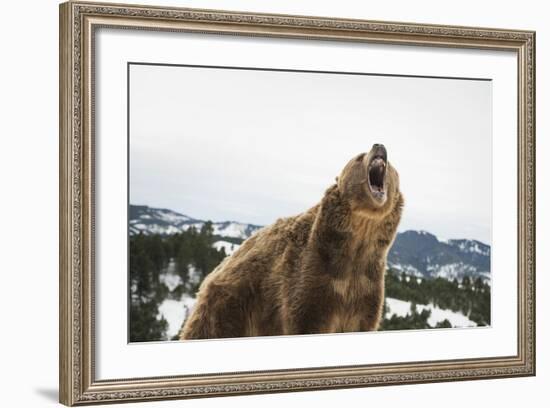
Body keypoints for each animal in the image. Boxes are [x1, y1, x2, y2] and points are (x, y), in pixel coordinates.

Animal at [181, 145, 406, 340]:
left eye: (391, 165)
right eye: (360, 157)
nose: (379, 146)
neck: (358, 241)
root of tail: (213, 274)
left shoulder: (365, 286)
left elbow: (363, 320)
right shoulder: (312, 277)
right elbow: (306, 318)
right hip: (229, 307)